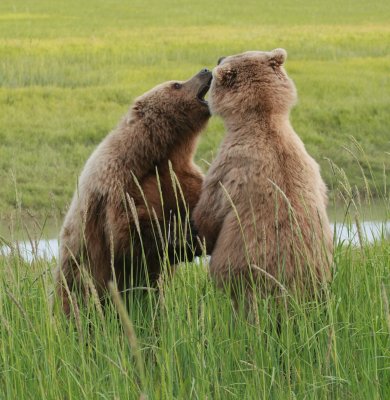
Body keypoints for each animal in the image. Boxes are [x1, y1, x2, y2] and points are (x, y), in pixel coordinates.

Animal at [55, 69, 212, 316]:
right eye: (176, 84)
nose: (205, 71)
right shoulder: (119, 181)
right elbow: (128, 231)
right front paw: (183, 237)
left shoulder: (178, 177)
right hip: (78, 278)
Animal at [193, 50, 334, 298]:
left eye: (225, 59)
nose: (218, 57)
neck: (262, 118)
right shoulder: (311, 165)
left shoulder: (230, 165)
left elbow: (210, 212)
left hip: (242, 273)